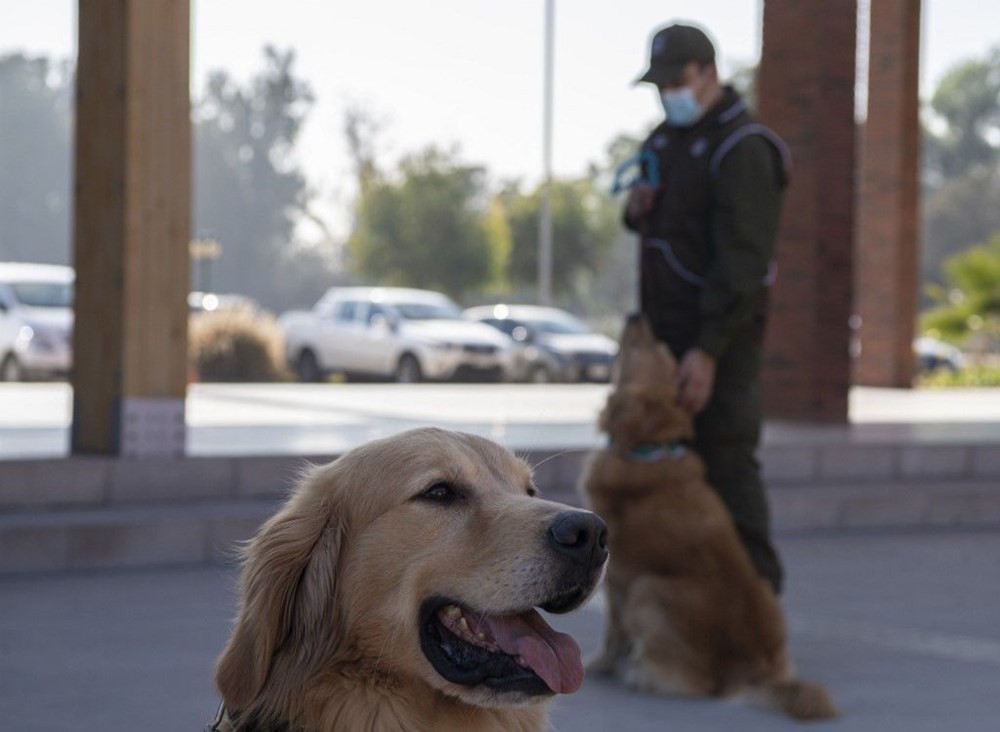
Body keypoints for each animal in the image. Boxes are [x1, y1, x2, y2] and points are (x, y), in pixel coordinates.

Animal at [580, 314, 836, 720]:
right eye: (663, 350)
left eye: (644, 348)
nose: (638, 315)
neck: (648, 449)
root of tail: (751, 668)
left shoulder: (615, 573)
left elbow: (612, 630)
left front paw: (600, 664)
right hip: (766, 594)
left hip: (648, 588)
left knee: (693, 683)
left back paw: (641, 673)